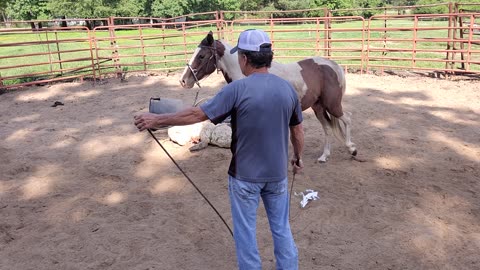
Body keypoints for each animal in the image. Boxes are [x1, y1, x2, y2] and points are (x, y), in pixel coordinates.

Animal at [179, 31, 356, 162]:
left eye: (201, 56)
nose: (183, 80)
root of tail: (333, 66)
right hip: (318, 107)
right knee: (327, 127)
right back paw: (324, 156)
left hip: (332, 105)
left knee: (347, 118)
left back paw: (352, 149)